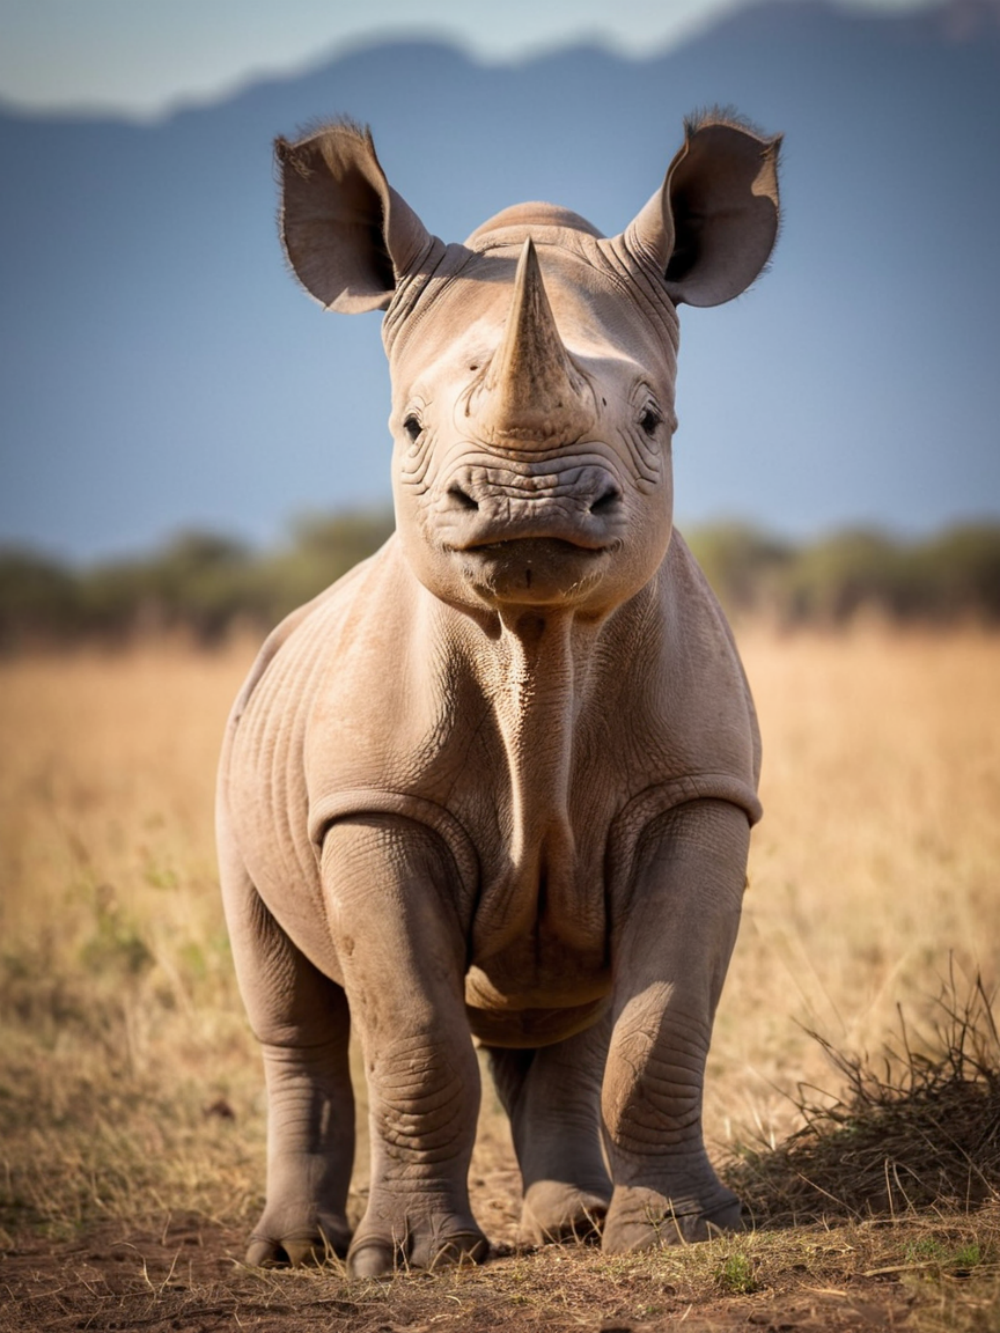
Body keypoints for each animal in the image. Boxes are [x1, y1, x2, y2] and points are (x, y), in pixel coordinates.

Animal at [217, 112, 781, 1276]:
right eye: (410, 426)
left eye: (652, 419)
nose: (530, 502)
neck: (539, 644)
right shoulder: (372, 808)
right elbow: (415, 1030)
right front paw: (410, 1260)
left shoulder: (700, 793)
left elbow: (660, 1021)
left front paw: (677, 1232)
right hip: (244, 740)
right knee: (295, 1015)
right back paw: (294, 1252)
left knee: (565, 1010)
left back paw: (574, 1222)